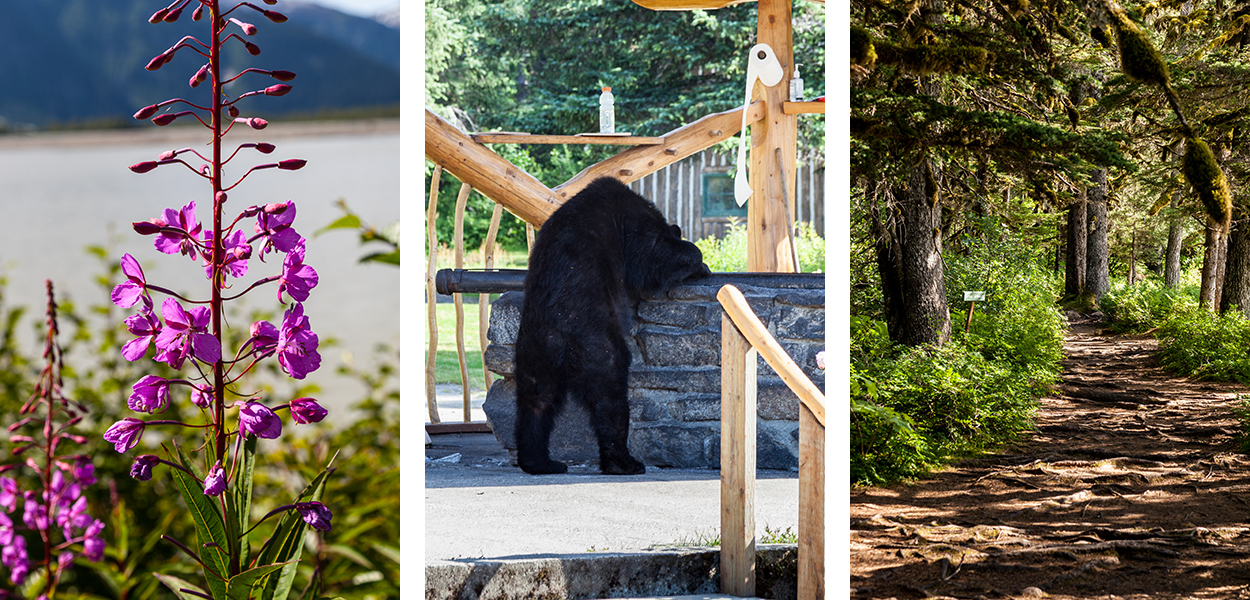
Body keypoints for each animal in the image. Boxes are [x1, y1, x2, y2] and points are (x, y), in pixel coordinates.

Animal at [510, 176, 710, 475]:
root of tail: (556, 336)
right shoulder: (633, 224)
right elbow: (652, 256)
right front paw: (699, 263)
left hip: (531, 349)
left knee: (535, 398)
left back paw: (541, 461)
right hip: (595, 342)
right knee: (610, 392)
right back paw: (624, 461)